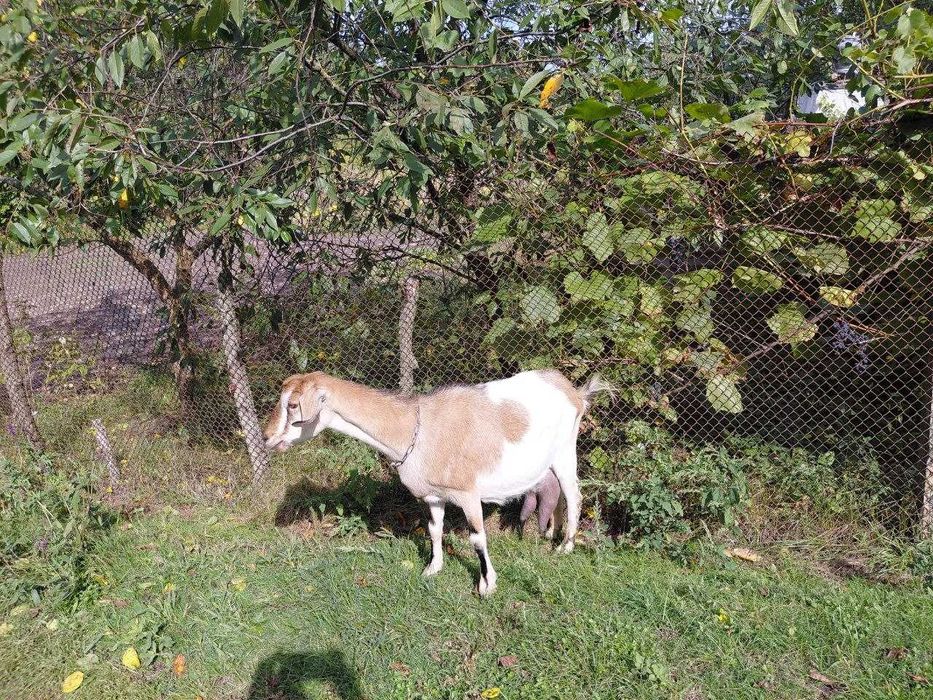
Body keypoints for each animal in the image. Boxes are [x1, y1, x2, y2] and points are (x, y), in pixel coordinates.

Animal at [263, 369, 612, 596]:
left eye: (292, 405)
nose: (266, 437)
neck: (414, 429)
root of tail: (575, 393)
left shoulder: (468, 493)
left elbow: (477, 539)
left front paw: (487, 585)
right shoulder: (432, 496)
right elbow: (433, 530)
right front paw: (433, 569)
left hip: (566, 449)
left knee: (574, 495)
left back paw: (565, 547)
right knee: (559, 495)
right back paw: (551, 534)